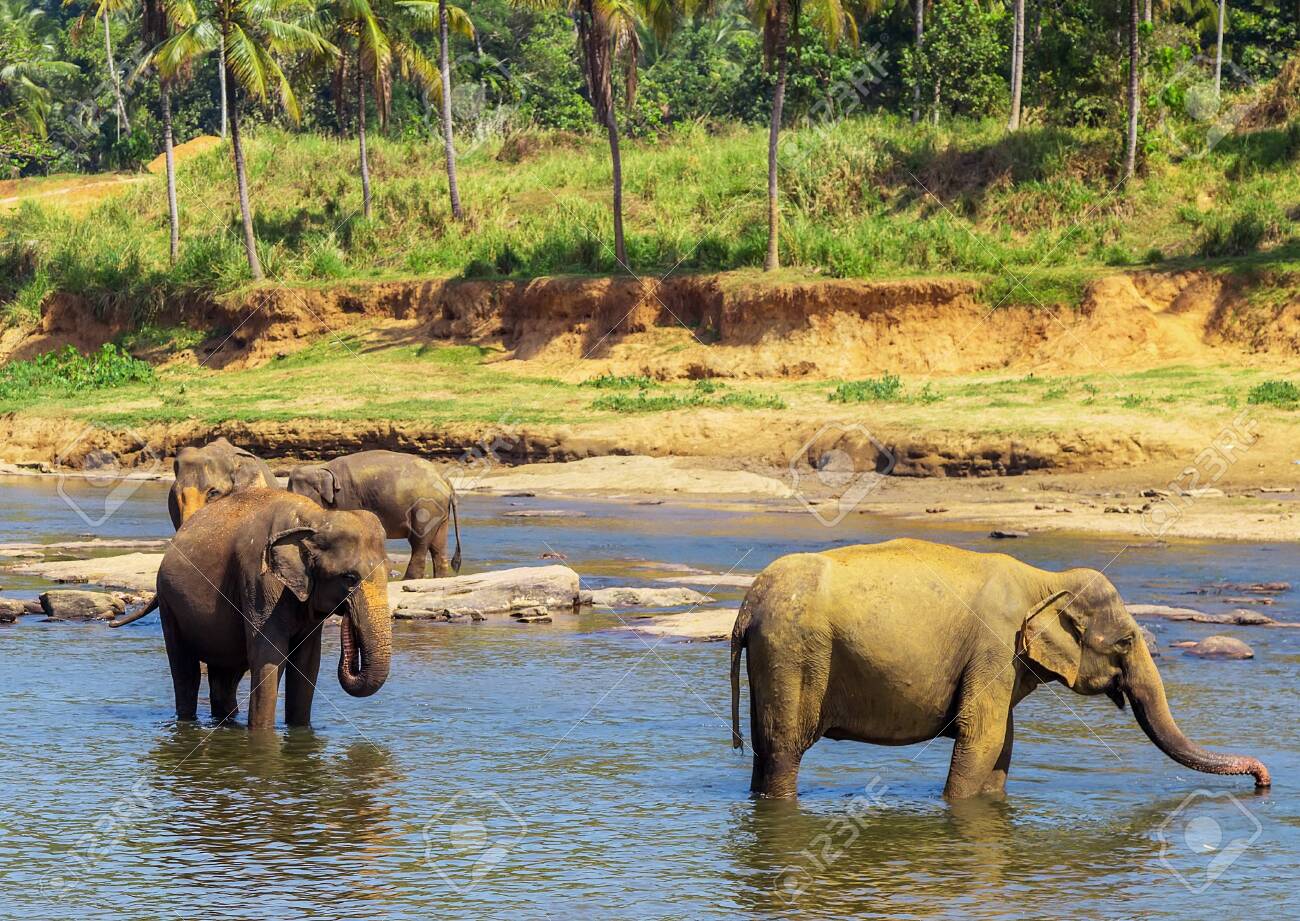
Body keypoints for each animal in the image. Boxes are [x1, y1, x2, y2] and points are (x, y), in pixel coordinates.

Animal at [128, 488, 392, 729]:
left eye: (389, 573)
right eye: (349, 578)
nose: (348, 615)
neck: (315, 518)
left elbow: (307, 663)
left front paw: (299, 730)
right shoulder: (259, 581)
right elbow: (268, 657)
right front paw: (262, 735)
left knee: (225, 677)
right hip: (169, 603)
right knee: (185, 671)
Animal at [288, 450, 461, 581]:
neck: (321, 467)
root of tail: (444, 479)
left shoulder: (348, 497)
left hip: (425, 507)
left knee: (419, 541)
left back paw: (409, 579)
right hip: (439, 511)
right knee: (438, 543)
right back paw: (440, 578)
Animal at [729, 538, 1271, 800]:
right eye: (1125, 641)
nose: (1263, 781)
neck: (1044, 579)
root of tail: (748, 605)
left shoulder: (1004, 660)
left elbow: (1003, 747)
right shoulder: (993, 645)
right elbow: (982, 738)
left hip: (777, 657)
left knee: (763, 750)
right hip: (795, 652)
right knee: (785, 749)